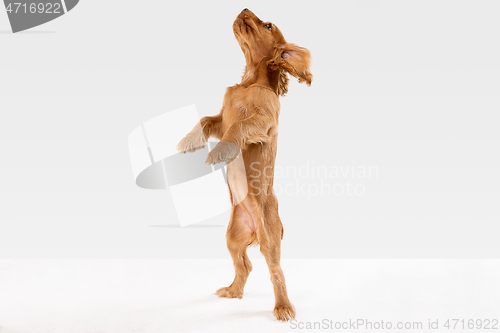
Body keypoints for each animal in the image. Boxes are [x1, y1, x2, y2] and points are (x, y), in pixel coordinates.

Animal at [176, 7, 308, 320]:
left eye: (268, 25)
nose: (244, 9)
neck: (250, 82)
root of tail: (254, 232)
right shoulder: (221, 118)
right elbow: (204, 120)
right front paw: (188, 141)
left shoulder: (263, 121)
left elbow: (238, 129)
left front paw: (220, 151)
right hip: (232, 237)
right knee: (244, 265)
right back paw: (232, 291)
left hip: (270, 240)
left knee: (276, 271)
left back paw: (283, 307)